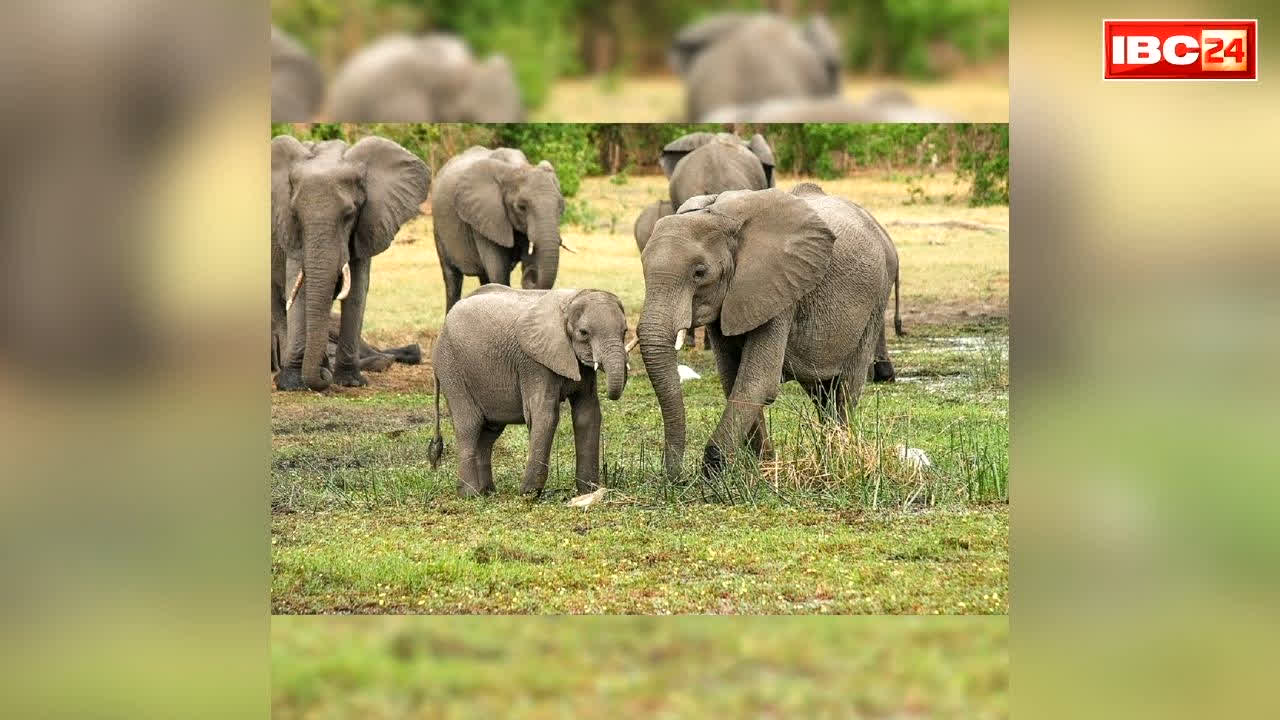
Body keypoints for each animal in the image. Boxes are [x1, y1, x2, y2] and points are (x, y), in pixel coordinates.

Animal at [271, 135, 431, 391]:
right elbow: (298, 288)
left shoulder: (368, 223)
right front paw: (292, 384)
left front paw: (350, 382)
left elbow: (356, 290)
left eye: (349, 215)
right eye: (296, 215)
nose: (323, 378)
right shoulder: (288, 230)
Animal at [429, 285, 632, 497]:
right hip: (451, 368)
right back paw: (470, 494)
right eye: (583, 333)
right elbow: (545, 415)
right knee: (469, 426)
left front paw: (588, 492)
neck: (570, 301)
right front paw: (529, 494)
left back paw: (488, 492)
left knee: (489, 432)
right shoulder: (534, 363)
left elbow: (588, 414)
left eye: (624, 331)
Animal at [431, 146, 566, 314]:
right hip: (439, 229)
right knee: (452, 280)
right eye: (521, 207)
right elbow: (498, 271)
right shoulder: (485, 217)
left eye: (561, 207)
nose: (530, 274)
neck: (515, 168)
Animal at [637, 184, 893, 480]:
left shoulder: (779, 289)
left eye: (699, 272)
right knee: (821, 391)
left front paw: (714, 472)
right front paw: (764, 467)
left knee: (846, 387)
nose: (676, 477)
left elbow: (758, 380)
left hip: (876, 299)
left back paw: (839, 459)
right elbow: (732, 378)